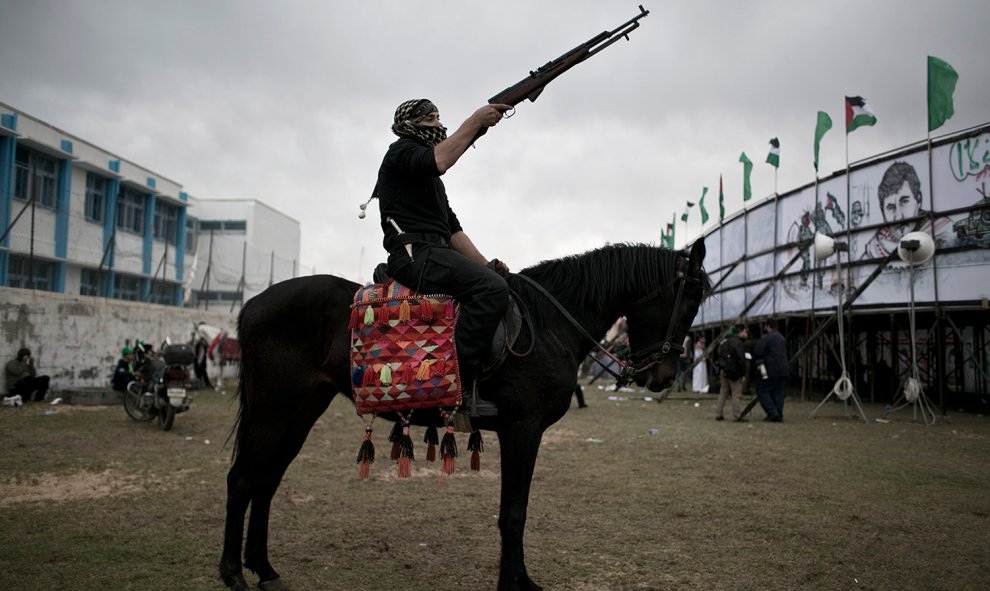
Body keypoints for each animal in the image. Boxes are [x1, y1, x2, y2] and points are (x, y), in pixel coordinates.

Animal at [221, 239, 708, 591]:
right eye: (689, 300)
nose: (665, 374)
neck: (549, 323)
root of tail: (254, 304)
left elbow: (514, 511)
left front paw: (520, 580)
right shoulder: (523, 430)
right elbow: (514, 514)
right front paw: (513, 586)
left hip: (303, 409)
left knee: (267, 481)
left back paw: (264, 569)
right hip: (273, 407)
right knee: (243, 479)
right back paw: (233, 573)